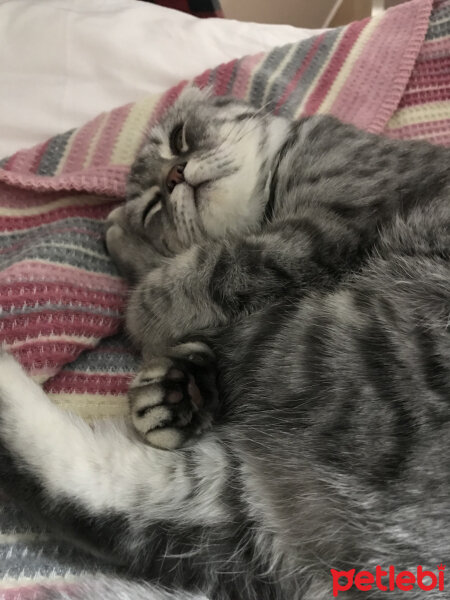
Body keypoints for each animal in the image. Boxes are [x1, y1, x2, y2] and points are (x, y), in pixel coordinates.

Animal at [0, 85, 448, 600]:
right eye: (153, 205)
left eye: (179, 138)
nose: (175, 175)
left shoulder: (321, 231)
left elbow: (205, 268)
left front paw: (146, 298)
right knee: (86, 486)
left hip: (336, 341)